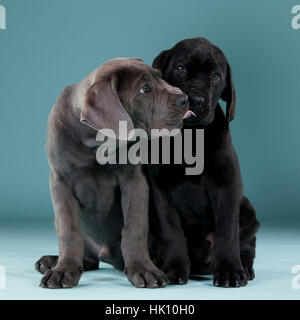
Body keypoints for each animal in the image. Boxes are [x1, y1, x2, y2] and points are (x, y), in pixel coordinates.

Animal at [34, 58, 188, 290]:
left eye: (161, 77)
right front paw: (64, 270)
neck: (95, 142)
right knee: (87, 256)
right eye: (145, 89)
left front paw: (143, 269)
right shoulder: (60, 181)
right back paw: (52, 262)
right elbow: (68, 229)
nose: (185, 99)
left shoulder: (134, 181)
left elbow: (134, 227)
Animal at [149, 38, 258, 288]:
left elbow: (226, 229)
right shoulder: (160, 188)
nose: (194, 100)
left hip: (248, 211)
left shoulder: (227, 184)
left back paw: (244, 268)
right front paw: (174, 268)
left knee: (248, 245)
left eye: (216, 76)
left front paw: (229, 271)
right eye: (180, 68)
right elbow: (172, 230)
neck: (190, 137)